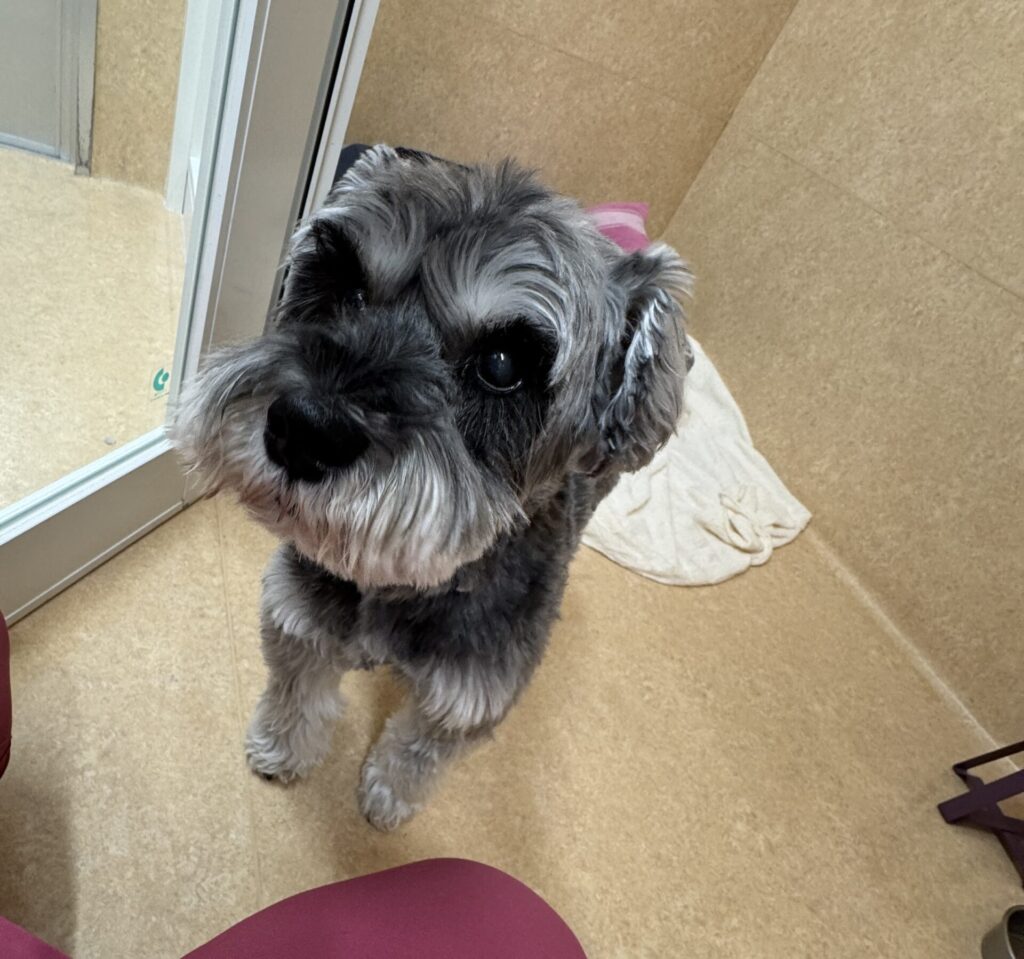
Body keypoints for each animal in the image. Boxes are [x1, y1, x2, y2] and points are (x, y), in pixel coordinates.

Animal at [170, 144, 691, 830]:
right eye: (348, 286)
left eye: (503, 364)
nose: (302, 431)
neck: (405, 585)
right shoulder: (300, 615)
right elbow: (297, 688)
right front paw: (281, 747)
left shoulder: (469, 696)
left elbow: (420, 751)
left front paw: (387, 797)